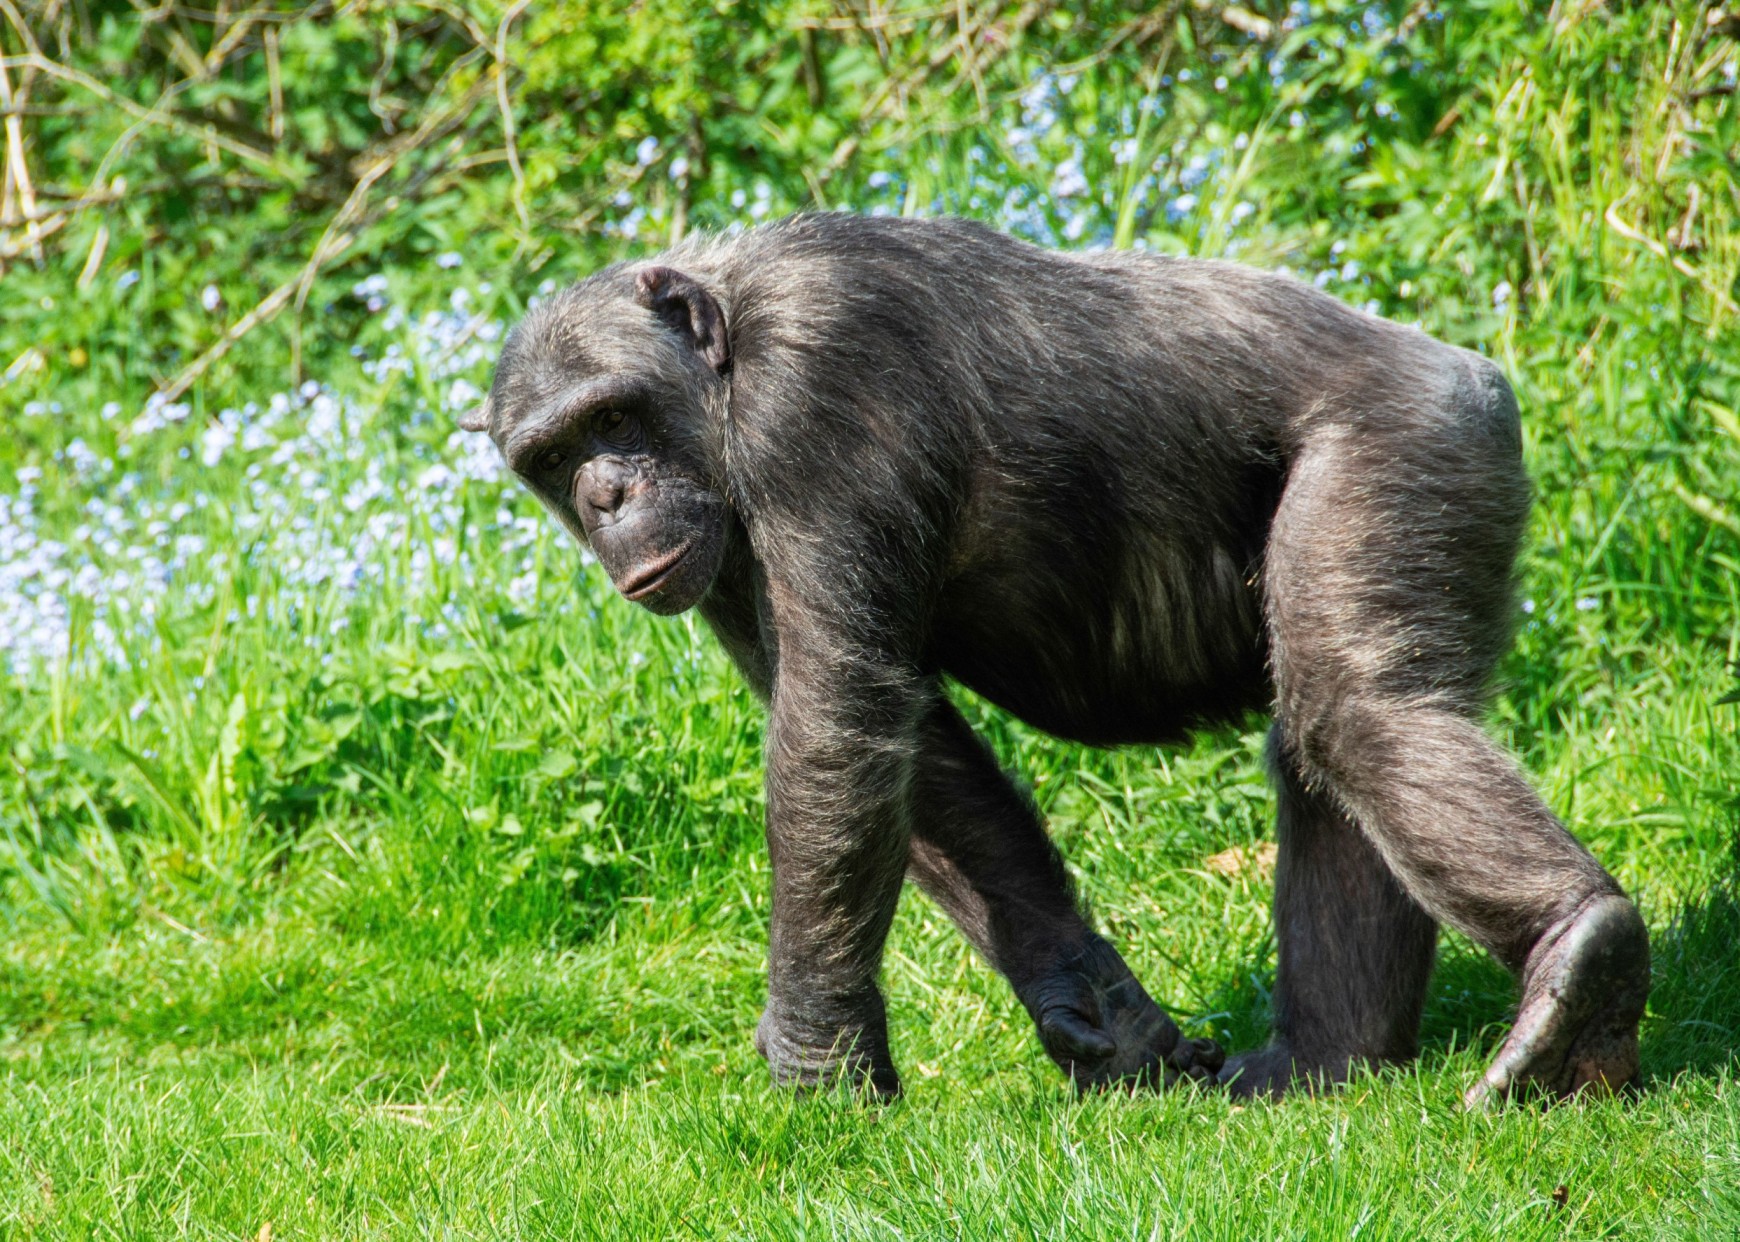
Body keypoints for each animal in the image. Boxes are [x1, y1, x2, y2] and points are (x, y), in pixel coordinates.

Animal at [461, 213, 1650, 1106]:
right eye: (553, 456)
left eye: (616, 417)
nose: (606, 496)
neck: (730, 360)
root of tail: (1474, 371)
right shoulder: (722, 563)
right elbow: (925, 761)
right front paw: (1108, 1016)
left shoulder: (819, 398)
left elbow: (836, 729)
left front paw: (814, 1062)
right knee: (1323, 752)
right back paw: (1326, 1060)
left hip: (1411, 446)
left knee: (1359, 710)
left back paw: (1579, 966)